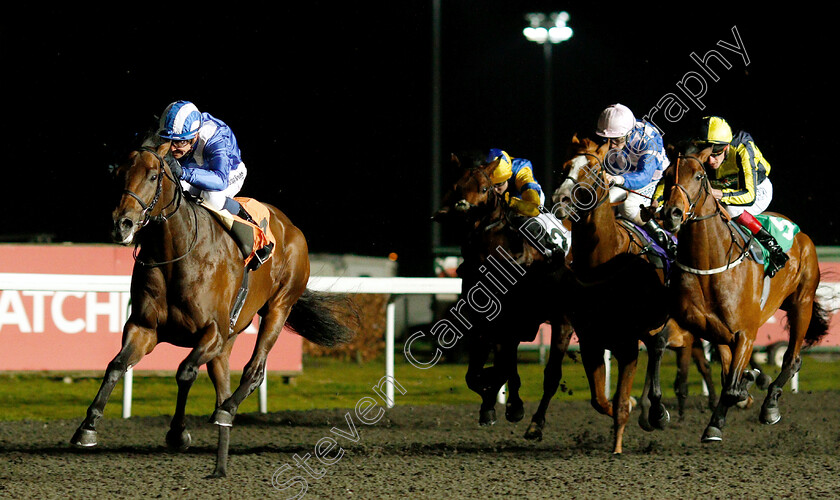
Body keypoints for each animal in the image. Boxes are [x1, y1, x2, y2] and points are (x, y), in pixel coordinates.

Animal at [72, 140, 358, 476]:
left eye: (154, 176)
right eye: (117, 174)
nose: (121, 225)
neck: (176, 254)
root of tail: (292, 227)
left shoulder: (213, 332)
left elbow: (185, 372)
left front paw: (178, 433)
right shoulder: (144, 328)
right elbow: (116, 365)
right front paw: (87, 427)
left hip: (278, 307)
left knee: (254, 370)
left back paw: (227, 410)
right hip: (230, 339)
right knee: (223, 380)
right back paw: (221, 456)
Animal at [434, 152, 576, 438]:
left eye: (484, 189)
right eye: (456, 187)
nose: (462, 209)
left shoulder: (514, 323)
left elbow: (498, 370)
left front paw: (502, 401)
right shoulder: (486, 322)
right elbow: (479, 374)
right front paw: (495, 406)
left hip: (562, 320)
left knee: (552, 375)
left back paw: (536, 423)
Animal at [556, 135, 712, 456]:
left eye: (593, 170)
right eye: (566, 166)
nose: (561, 200)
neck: (604, 262)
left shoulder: (627, 343)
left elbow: (618, 401)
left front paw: (617, 448)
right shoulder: (591, 341)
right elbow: (601, 400)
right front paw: (632, 409)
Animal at [660, 142, 832, 442]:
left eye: (698, 176)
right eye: (667, 176)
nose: (672, 214)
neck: (710, 263)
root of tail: (799, 232)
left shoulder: (745, 332)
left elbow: (730, 386)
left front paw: (716, 423)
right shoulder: (700, 326)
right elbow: (723, 373)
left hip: (802, 303)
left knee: (792, 359)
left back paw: (770, 404)